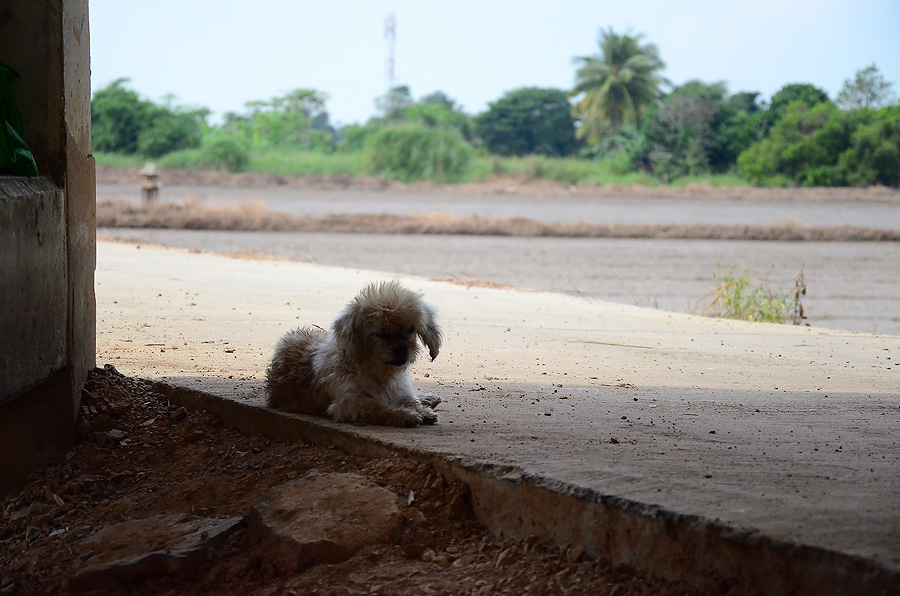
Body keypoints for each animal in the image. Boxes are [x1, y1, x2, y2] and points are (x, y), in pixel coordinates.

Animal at [264, 280, 442, 426]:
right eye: (379, 334)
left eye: (411, 329)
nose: (401, 349)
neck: (379, 375)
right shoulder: (348, 406)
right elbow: (379, 407)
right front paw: (405, 415)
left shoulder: (401, 390)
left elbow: (411, 400)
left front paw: (422, 409)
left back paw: (428, 399)